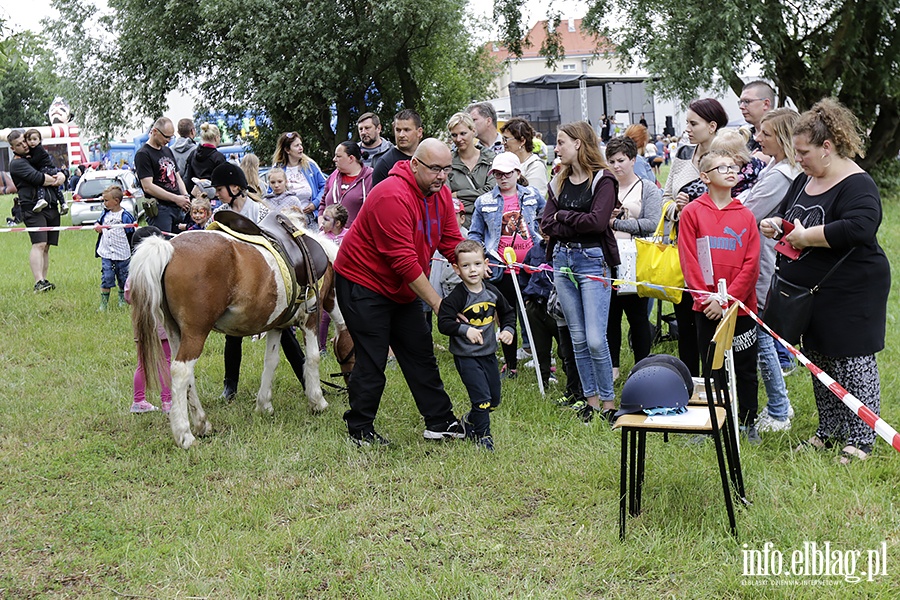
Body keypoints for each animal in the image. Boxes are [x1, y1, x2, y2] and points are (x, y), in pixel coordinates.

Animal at [132, 213, 346, 448]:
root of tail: (169, 248)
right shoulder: (309, 321)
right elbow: (313, 358)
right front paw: (317, 401)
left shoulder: (277, 325)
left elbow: (271, 361)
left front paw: (264, 405)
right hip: (195, 333)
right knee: (181, 372)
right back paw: (185, 435)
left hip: (175, 332)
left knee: (187, 378)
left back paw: (202, 424)